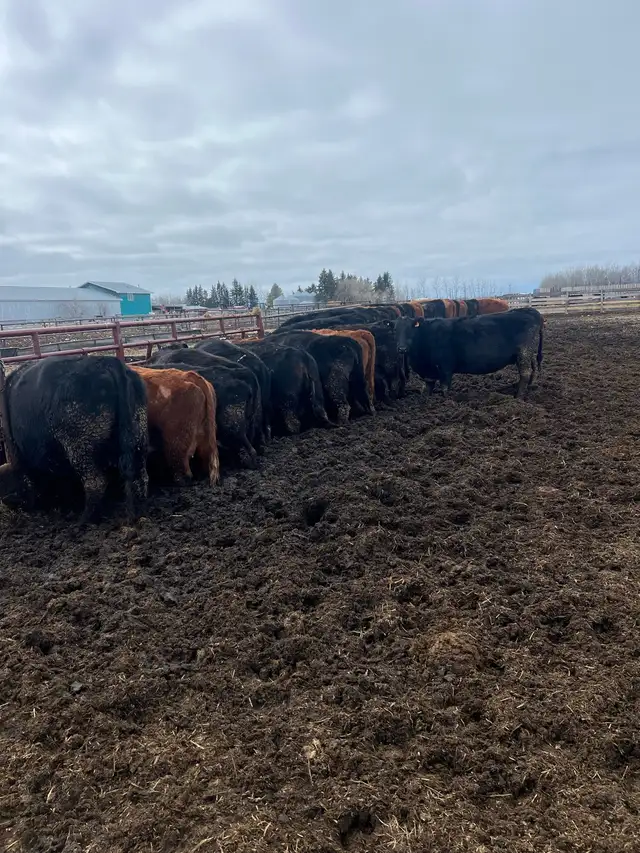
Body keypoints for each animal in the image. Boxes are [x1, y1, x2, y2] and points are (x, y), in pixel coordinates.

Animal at [0, 356, 148, 520]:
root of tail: (108, 362)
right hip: (138, 438)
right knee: (140, 476)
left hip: (80, 449)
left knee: (95, 483)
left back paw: (83, 519)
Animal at [394, 307, 544, 398]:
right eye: (395, 329)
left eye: (411, 328)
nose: (402, 349)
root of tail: (529, 310)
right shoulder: (429, 373)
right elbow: (426, 389)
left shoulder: (445, 367)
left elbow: (444, 388)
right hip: (529, 353)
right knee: (534, 370)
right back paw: (530, 387)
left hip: (523, 353)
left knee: (525, 373)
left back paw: (518, 396)